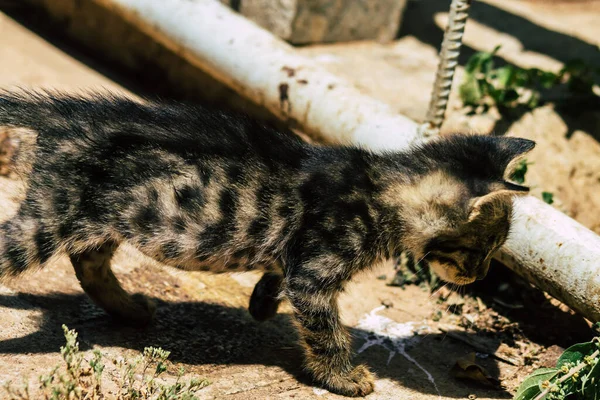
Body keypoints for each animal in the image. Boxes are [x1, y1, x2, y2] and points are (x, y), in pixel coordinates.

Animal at [0, 92, 536, 396]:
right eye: (482, 250)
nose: (480, 276)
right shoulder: (317, 273)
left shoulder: (297, 258)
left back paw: (130, 309)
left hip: (107, 219)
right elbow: (325, 330)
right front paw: (344, 377)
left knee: (87, 261)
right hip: (50, 219)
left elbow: (279, 273)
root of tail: (68, 117)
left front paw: (261, 303)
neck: (379, 188)